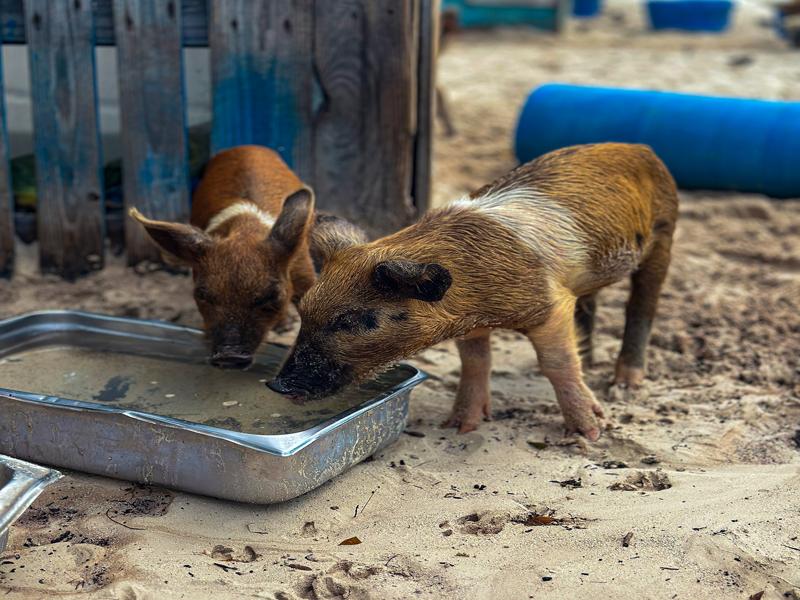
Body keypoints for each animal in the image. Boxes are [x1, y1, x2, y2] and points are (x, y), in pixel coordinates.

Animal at [129, 145, 364, 370]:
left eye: (272, 296)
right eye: (202, 295)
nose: (229, 356)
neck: (245, 230)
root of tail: (247, 146)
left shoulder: (304, 272)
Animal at [267, 143, 678, 441]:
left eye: (351, 321)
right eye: (304, 310)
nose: (276, 383)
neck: (481, 304)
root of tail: (640, 148)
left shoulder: (551, 305)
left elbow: (557, 363)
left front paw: (590, 433)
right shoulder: (472, 324)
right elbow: (476, 362)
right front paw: (460, 427)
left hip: (664, 234)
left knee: (642, 305)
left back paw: (625, 384)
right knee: (590, 306)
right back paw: (590, 361)